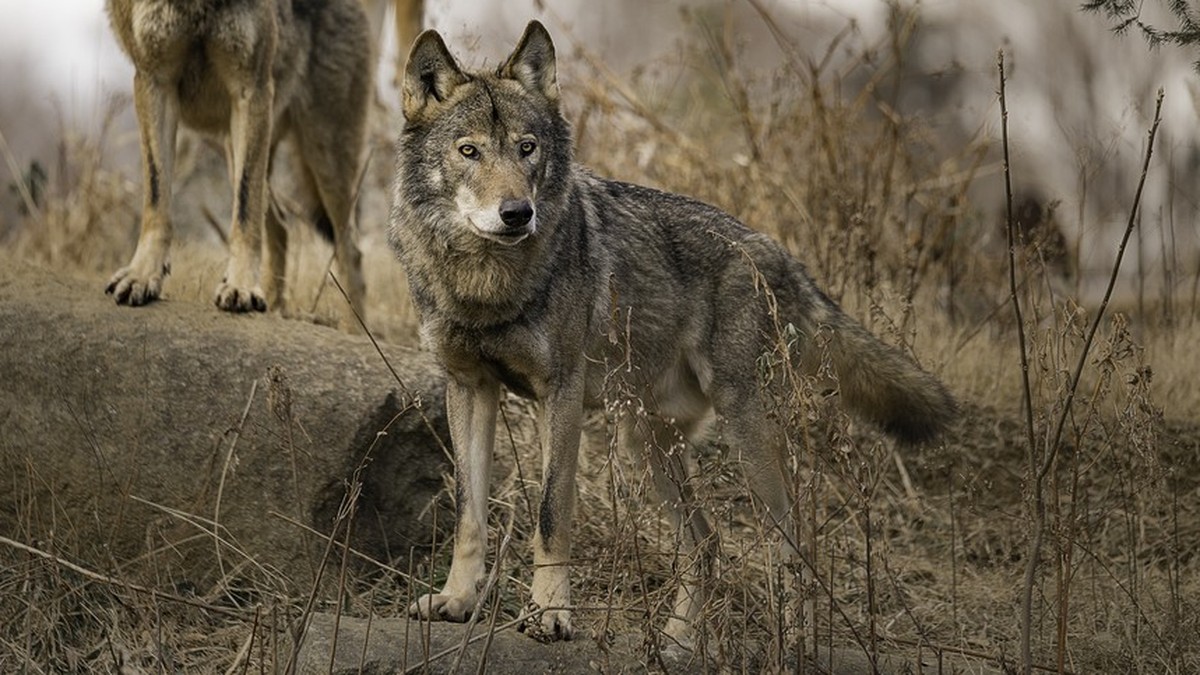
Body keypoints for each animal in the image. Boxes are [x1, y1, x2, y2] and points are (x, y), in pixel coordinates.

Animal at [104, 0, 370, 326]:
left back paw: (353, 331)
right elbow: (157, 194)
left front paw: (241, 286)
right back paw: (273, 306)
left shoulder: (251, 89)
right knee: (280, 225)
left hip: (325, 155)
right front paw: (142, 275)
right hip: (237, 151)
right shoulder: (154, 81)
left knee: (350, 254)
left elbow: (245, 211)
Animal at [389, 21, 956, 643]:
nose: (517, 213)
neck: (485, 284)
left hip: (743, 429)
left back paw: (791, 643)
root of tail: (779, 255)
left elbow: (551, 514)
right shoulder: (469, 387)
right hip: (646, 443)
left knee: (793, 541)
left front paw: (550, 613)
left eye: (526, 148)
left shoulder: (560, 393)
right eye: (469, 151)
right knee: (706, 544)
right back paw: (680, 645)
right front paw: (455, 601)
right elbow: (470, 515)